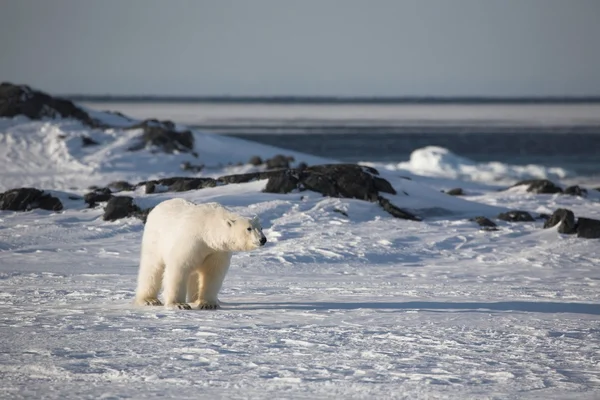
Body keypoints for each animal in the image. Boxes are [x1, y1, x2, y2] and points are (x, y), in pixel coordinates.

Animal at [136, 199, 268, 310]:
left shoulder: (216, 251)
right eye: (249, 228)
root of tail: (158, 207)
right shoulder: (192, 240)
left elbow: (213, 272)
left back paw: (194, 299)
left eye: (261, 228)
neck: (207, 230)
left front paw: (208, 304)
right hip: (155, 240)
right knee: (152, 268)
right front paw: (179, 304)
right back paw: (149, 300)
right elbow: (179, 267)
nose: (263, 239)